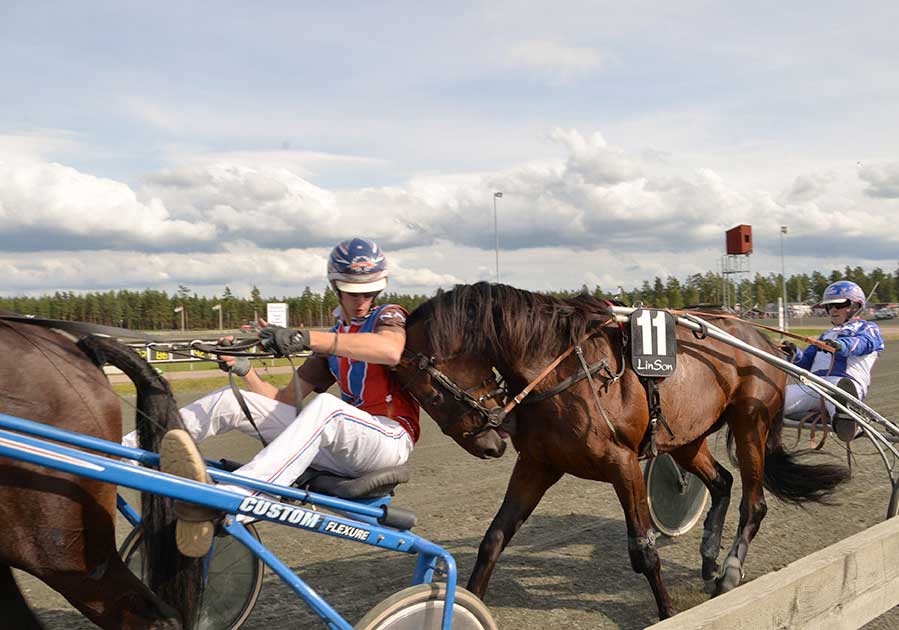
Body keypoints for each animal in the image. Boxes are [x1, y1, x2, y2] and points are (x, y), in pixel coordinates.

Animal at [400, 286, 852, 624]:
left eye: (432, 394)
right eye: (418, 400)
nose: (489, 445)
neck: (563, 370)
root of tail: (762, 340)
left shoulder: (623, 465)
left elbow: (644, 551)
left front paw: (667, 611)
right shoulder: (537, 464)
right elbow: (494, 537)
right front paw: (467, 602)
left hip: (750, 424)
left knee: (753, 503)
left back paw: (729, 572)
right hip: (685, 438)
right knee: (722, 481)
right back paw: (709, 559)